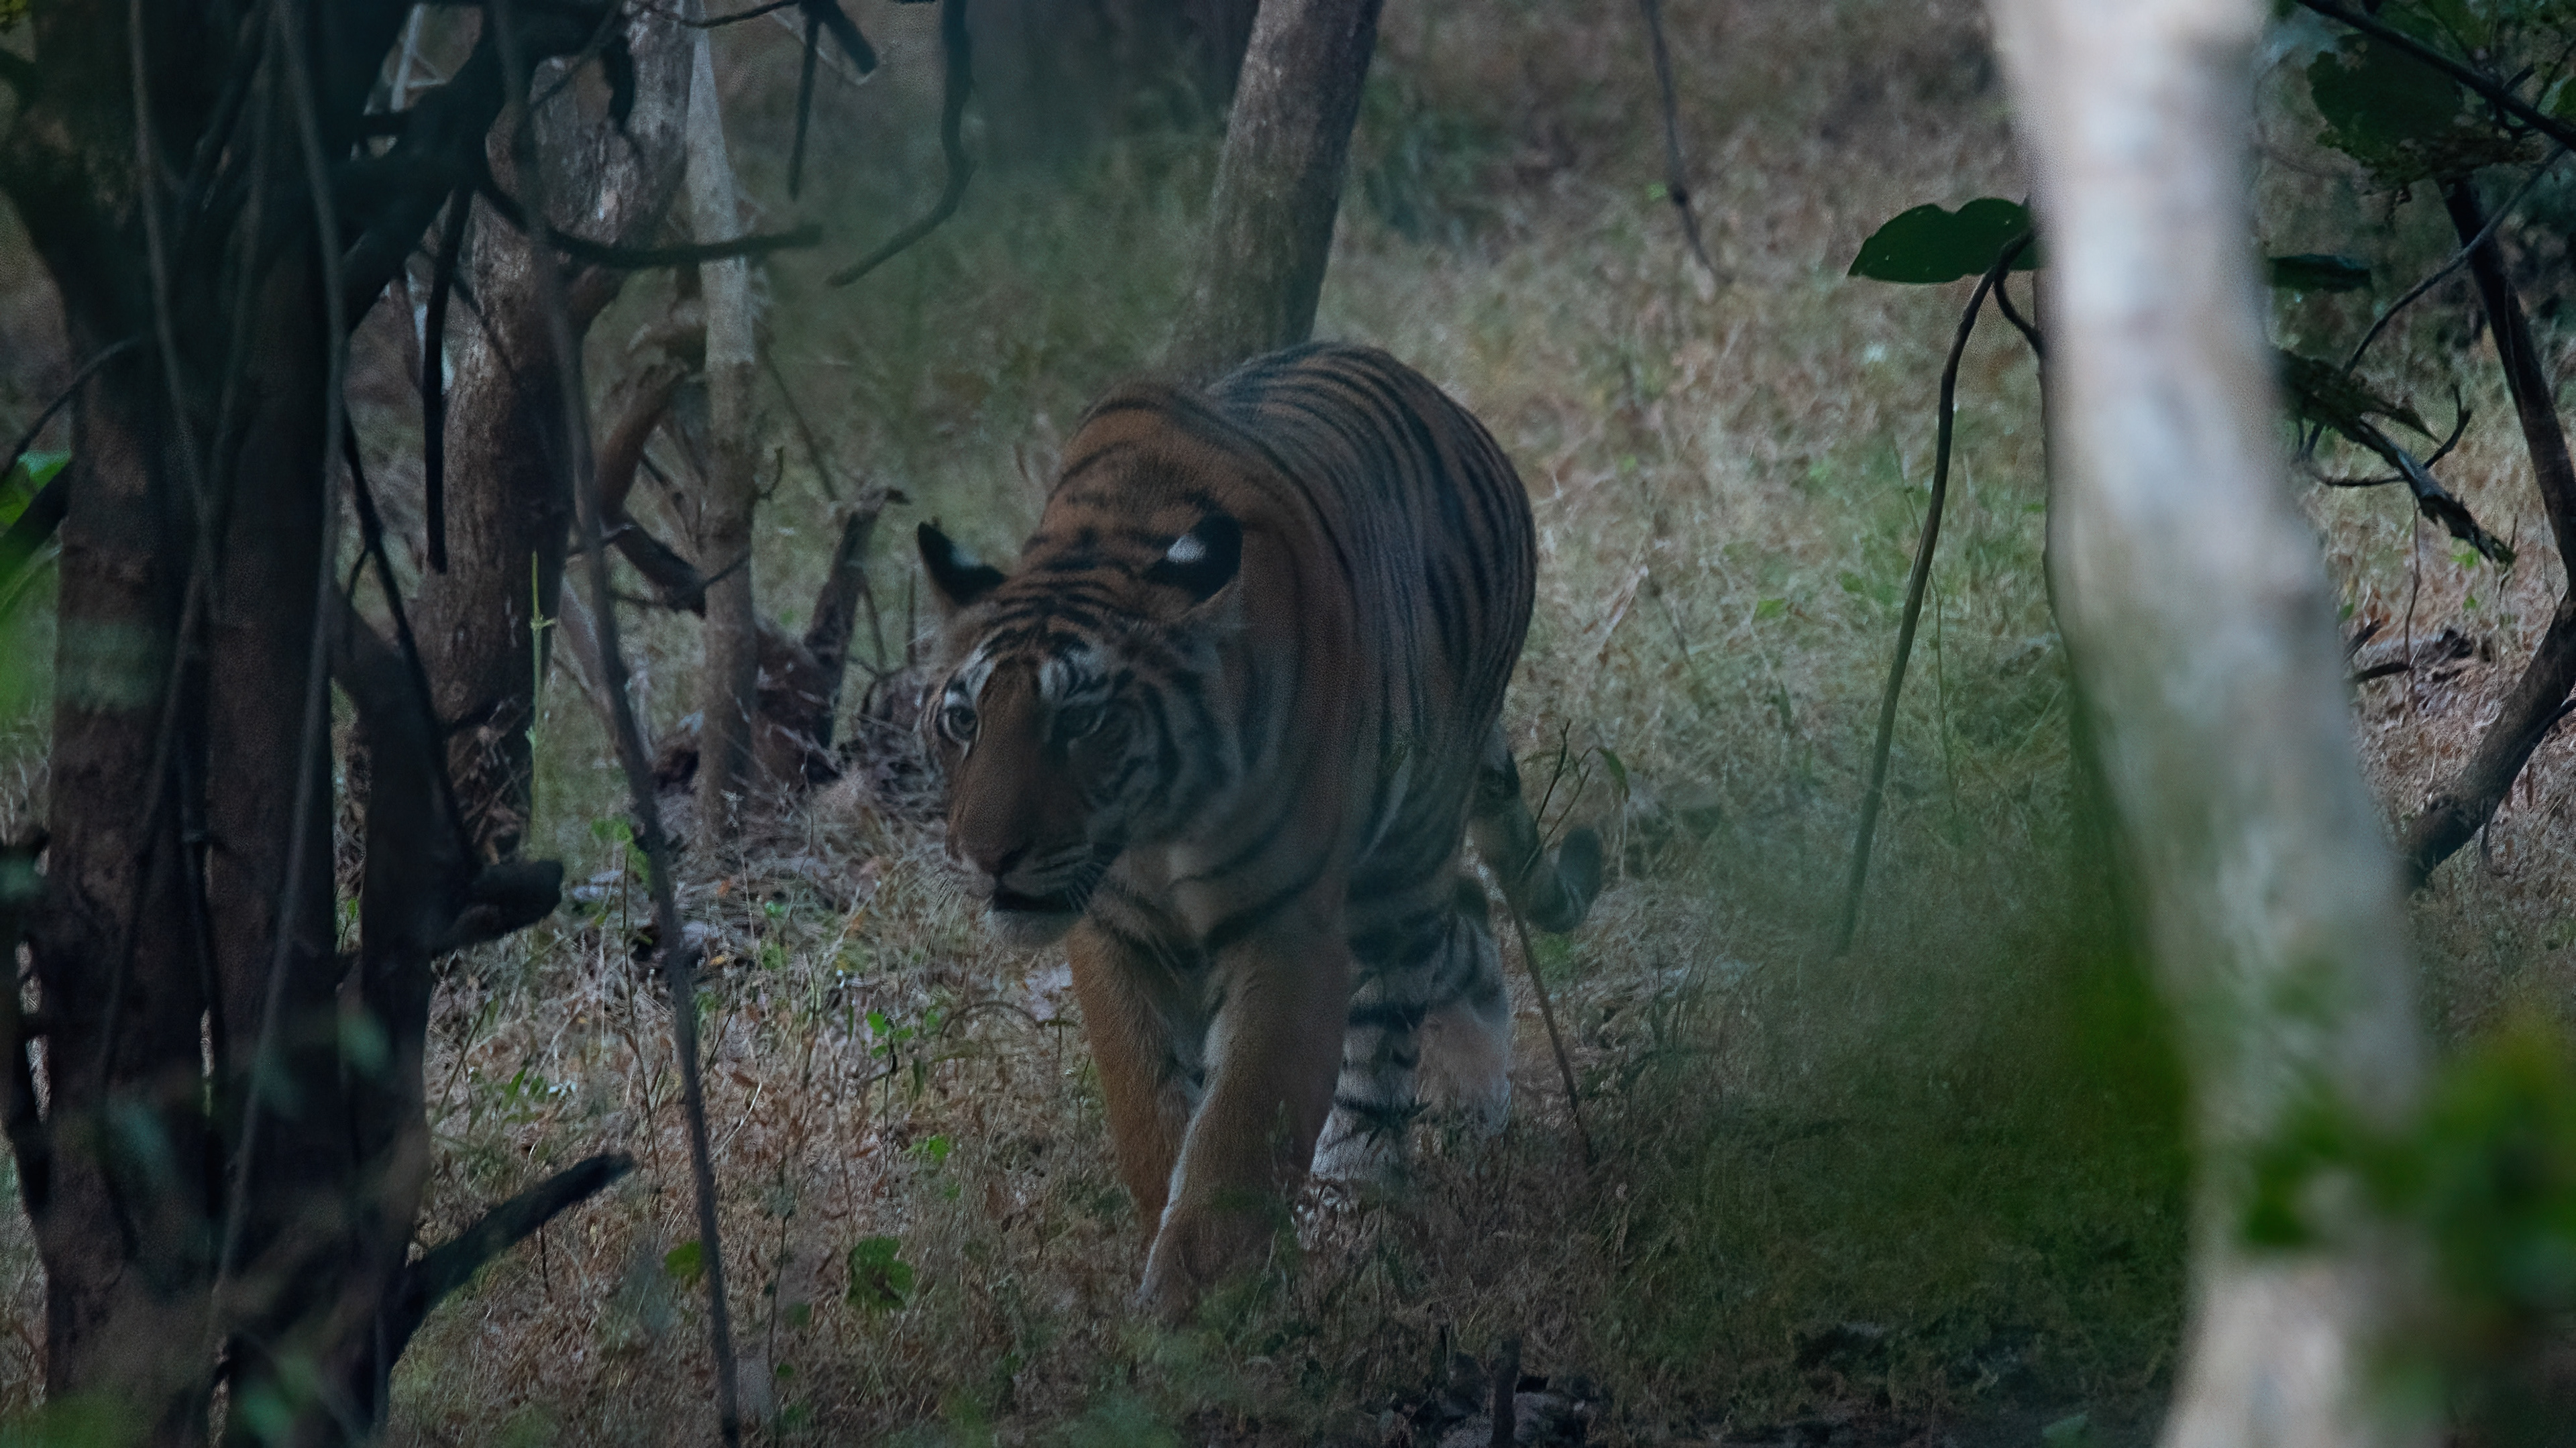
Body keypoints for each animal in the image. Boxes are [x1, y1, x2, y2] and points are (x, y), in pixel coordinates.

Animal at [914, 342, 1601, 1318]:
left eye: (1081, 721)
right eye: (963, 720)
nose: (985, 856)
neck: (1153, 827)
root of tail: (1449, 406)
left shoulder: (1287, 926)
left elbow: (1242, 1126)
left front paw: (1195, 1315)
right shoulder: (1113, 935)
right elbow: (1152, 1110)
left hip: (1402, 859)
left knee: (1390, 1025)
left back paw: (1362, 1203)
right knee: (1467, 923)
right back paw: (1472, 1117)